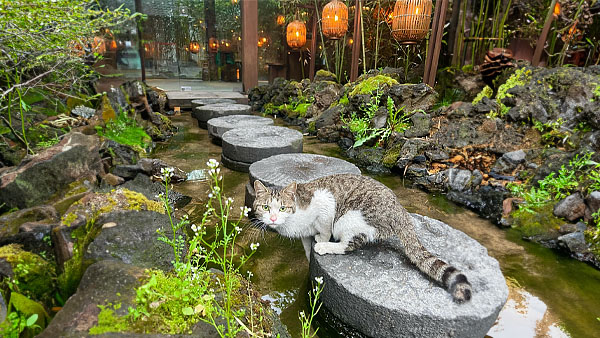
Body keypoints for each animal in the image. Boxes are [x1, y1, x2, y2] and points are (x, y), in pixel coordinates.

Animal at [252, 174, 474, 304]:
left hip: (349, 218)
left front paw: (321, 240)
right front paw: (309, 255)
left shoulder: (325, 204)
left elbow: (323, 228)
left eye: (282, 208)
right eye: (265, 207)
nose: (273, 218)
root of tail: (400, 210)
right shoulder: (304, 234)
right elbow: (307, 244)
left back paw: (326, 246)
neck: (294, 220)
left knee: (348, 244)